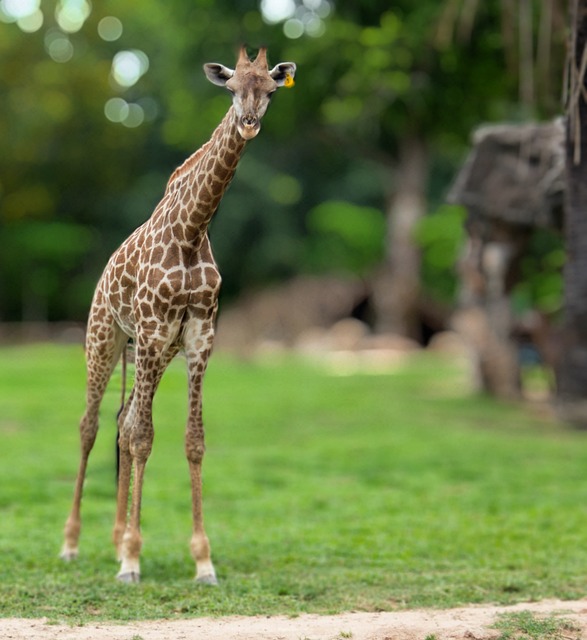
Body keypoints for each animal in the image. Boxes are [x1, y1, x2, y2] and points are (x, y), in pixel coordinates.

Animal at [59, 45, 296, 584]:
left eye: (270, 91)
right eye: (232, 89)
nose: (249, 124)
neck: (192, 231)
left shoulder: (198, 337)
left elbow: (193, 440)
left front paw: (202, 561)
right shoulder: (152, 330)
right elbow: (143, 437)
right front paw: (132, 559)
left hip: (157, 352)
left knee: (122, 420)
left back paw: (113, 539)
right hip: (106, 338)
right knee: (92, 425)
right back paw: (74, 544)